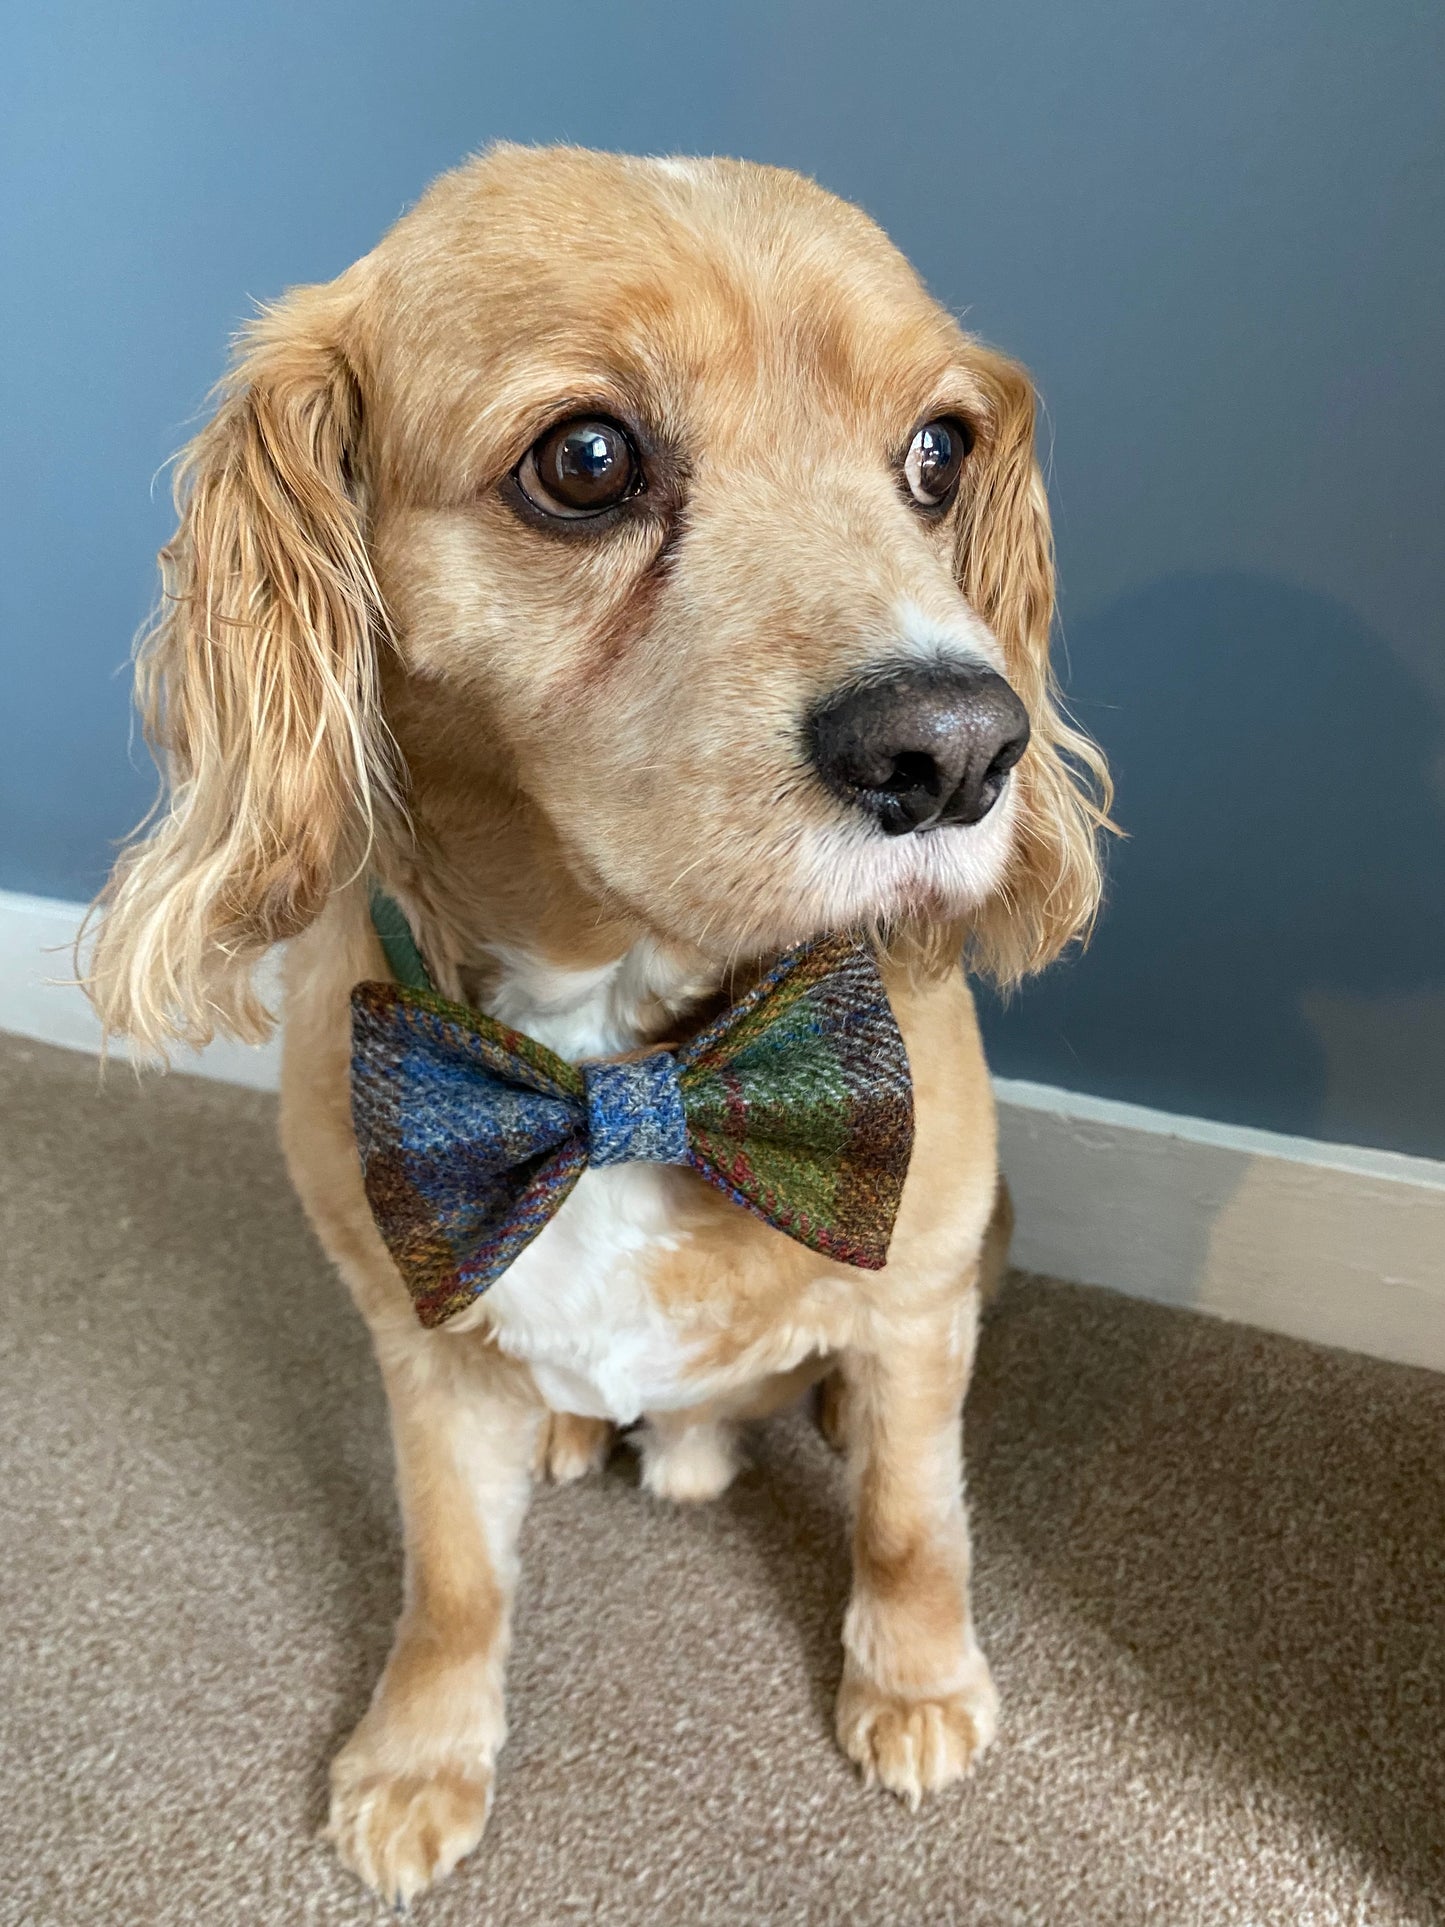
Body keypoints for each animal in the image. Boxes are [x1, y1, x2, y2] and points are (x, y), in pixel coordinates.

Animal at [87, 146, 1109, 1896]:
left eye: (935, 453)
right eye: (585, 459)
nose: (962, 747)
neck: (625, 1062)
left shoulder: (918, 1299)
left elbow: (912, 1517)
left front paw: (914, 1684)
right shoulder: (418, 1336)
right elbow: (451, 1578)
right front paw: (417, 1755)